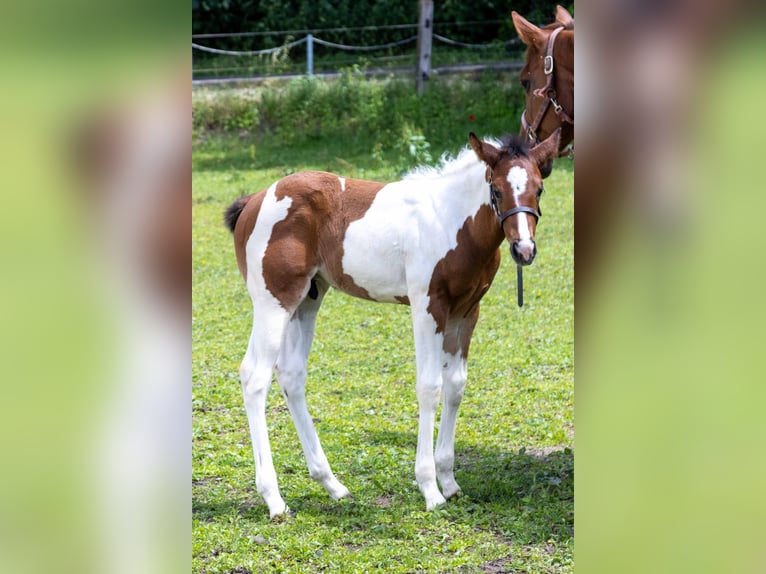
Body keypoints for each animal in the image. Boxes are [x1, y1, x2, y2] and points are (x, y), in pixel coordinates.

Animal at [224, 129, 561, 518]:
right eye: (496, 190)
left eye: (539, 188)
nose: (524, 250)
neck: (450, 221)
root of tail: (254, 200)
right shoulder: (427, 306)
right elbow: (429, 387)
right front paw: (430, 489)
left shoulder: (466, 312)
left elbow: (456, 385)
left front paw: (449, 481)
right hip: (272, 302)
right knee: (254, 377)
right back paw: (274, 499)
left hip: (307, 300)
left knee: (291, 376)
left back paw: (332, 485)